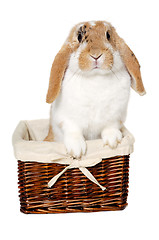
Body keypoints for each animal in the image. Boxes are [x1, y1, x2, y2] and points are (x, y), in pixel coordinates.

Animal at [44, 20, 146, 158]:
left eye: (108, 35)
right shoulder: (66, 118)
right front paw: (77, 150)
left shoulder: (116, 116)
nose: (96, 55)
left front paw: (113, 141)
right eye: (79, 37)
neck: (96, 78)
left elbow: (111, 126)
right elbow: (72, 130)